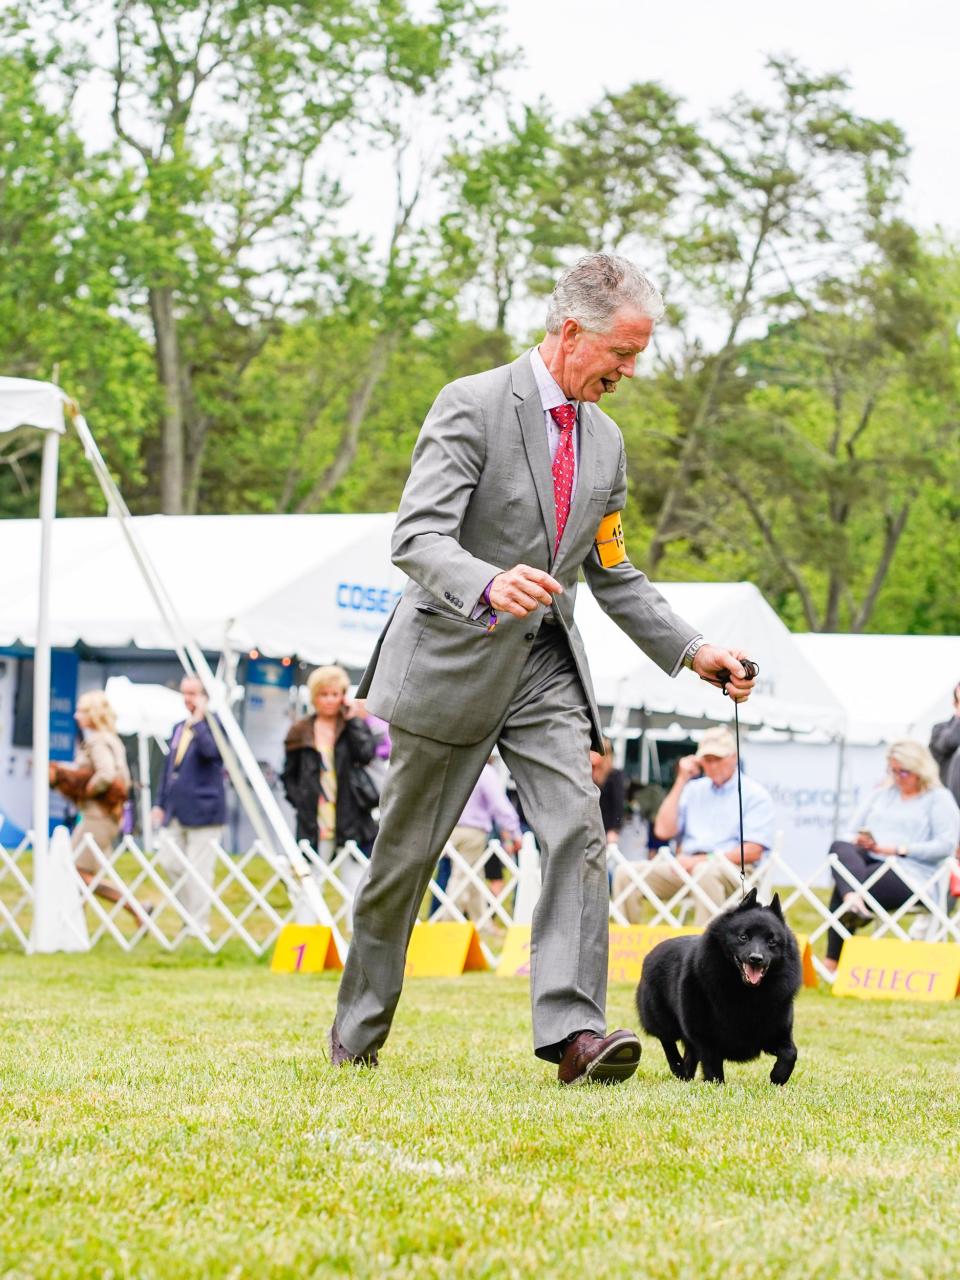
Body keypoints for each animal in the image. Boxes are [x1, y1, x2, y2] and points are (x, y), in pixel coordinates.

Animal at [640, 890, 803, 1090]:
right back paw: (678, 1068)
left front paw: (777, 1077)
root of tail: (652, 952)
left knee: (690, 1052)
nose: (756, 958)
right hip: (661, 1018)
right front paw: (715, 1084)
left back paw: (686, 1074)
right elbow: (712, 1063)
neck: (747, 993)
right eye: (743, 937)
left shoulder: (776, 1031)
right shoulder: (705, 1034)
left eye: (772, 941)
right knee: (667, 1041)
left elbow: (790, 1053)